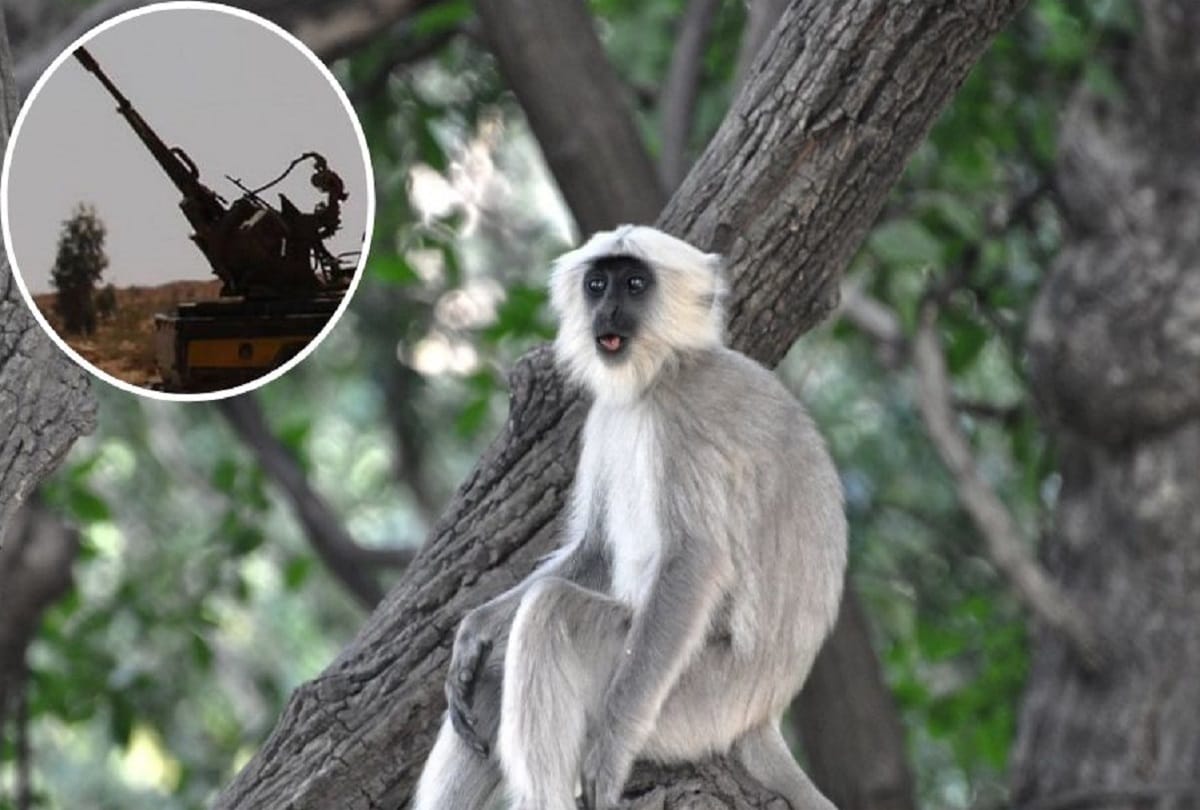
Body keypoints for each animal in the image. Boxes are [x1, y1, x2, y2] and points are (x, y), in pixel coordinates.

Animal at [412, 225, 847, 810]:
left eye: (635, 285)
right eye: (598, 284)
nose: (608, 311)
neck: (666, 371)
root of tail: (761, 715)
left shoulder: (683, 420)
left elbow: (694, 562)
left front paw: (610, 752)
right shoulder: (606, 414)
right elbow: (595, 549)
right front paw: (477, 626)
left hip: (692, 701)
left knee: (552, 612)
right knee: (498, 663)